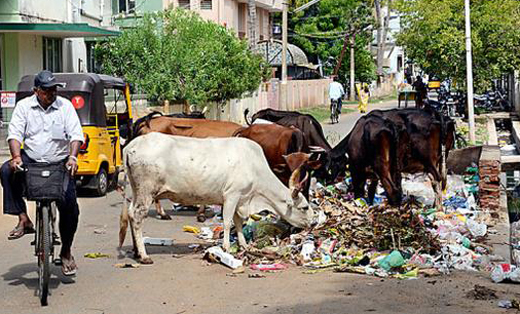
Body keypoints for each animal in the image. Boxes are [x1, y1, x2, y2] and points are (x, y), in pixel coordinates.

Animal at [120, 131, 314, 264]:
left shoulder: (240, 199)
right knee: (137, 217)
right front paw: (226, 247)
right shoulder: (232, 195)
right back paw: (144, 255)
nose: (313, 223)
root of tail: (131, 146)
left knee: (129, 214)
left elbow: (238, 222)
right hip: (146, 192)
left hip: (136, 191)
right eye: (304, 207)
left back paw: (136, 251)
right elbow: (228, 222)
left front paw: (244, 246)